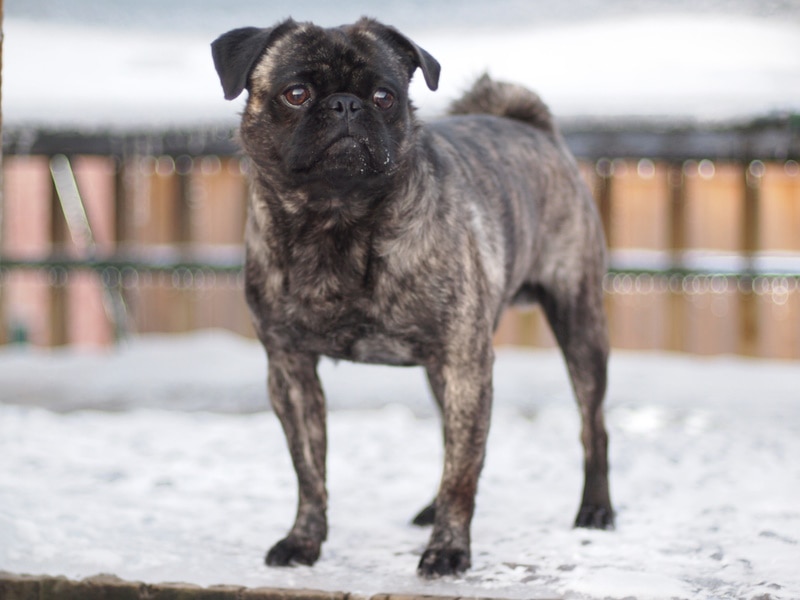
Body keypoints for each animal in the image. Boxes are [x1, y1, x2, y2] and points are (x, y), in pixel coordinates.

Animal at [211, 18, 612, 580]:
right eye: (296, 94)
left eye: (385, 96)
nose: (345, 105)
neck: (337, 221)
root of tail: (535, 129)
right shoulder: (290, 370)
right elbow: (309, 472)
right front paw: (303, 541)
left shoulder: (466, 363)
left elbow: (462, 471)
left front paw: (449, 550)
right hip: (443, 370)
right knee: (452, 435)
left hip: (578, 326)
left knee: (591, 427)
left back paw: (595, 509)